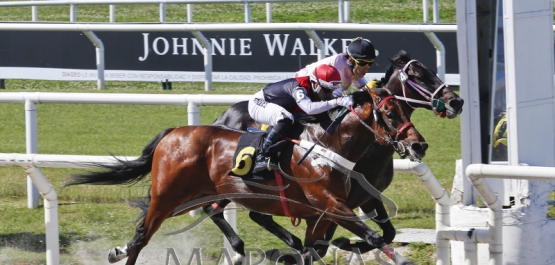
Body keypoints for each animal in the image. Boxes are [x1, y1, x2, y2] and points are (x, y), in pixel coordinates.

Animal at [67, 87, 428, 264]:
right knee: (144, 235)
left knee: (185, 218)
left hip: (191, 198)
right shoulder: (332, 205)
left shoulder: (322, 213)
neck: (326, 147)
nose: (419, 145)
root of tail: (174, 132)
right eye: (390, 112)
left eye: (406, 109)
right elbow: (374, 237)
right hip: (169, 196)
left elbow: (314, 250)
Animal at [211, 50, 466, 260]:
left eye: (432, 71)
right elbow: (323, 246)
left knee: (250, 214)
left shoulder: (367, 196)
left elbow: (388, 233)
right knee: (219, 209)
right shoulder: (333, 203)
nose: (457, 101)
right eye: (418, 76)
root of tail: (222, 117)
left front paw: (346, 243)